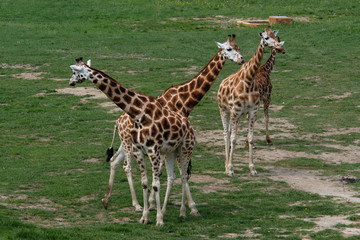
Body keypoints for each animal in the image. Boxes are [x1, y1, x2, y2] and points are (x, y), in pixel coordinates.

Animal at [67, 57, 197, 225]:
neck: (138, 114)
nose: (70, 82)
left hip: (186, 148)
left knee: (183, 176)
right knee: (172, 176)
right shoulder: (139, 150)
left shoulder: (153, 150)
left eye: (74, 72)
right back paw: (168, 211)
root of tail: (190, 125)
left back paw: (183, 212)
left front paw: (159, 221)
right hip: (171, 151)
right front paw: (145, 217)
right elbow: (145, 183)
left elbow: (155, 185)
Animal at [102, 34, 245, 212]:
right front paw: (174, 205)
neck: (184, 100)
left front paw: (164, 204)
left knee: (114, 161)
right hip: (129, 144)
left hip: (126, 143)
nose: (241, 59)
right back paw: (137, 205)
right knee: (127, 166)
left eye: (238, 47)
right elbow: (172, 171)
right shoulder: (169, 141)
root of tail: (117, 121)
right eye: (229, 49)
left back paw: (106, 200)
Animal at [217, 26, 284, 176]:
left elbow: (251, 138)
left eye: (274, 36)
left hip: (237, 115)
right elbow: (233, 139)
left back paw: (226, 164)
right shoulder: (236, 111)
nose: (278, 46)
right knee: (226, 134)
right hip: (224, 110)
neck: (248, 80)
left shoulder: (253, 111)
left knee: (229, 132)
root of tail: (221, 83)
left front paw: (252, 168)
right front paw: (231, 169)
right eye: (265, 37)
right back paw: (226, 166)